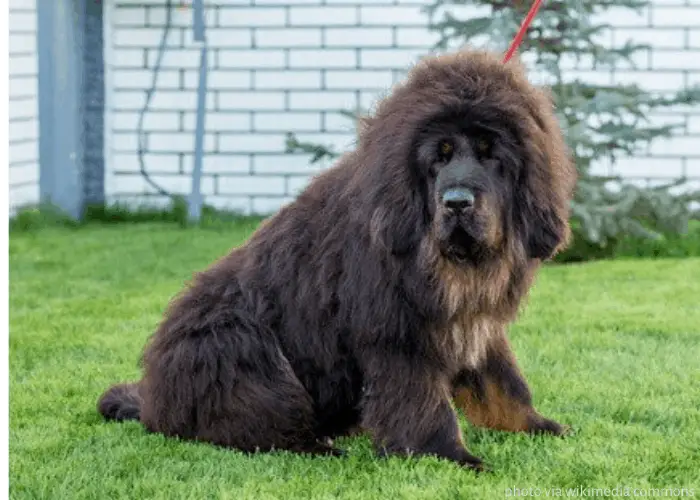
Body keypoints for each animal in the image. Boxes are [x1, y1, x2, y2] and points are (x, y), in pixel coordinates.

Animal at [100, 48, 580, 470]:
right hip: (237, 346)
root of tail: (153, 401)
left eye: (489, 153)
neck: (444, 260)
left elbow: (504, 383)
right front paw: (449, 456)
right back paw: (322, 446)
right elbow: (423, 403)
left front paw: (540, 426)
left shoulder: (474, 322)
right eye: (438, 158)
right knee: (259, 426)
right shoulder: (397, 335)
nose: (457, 202)